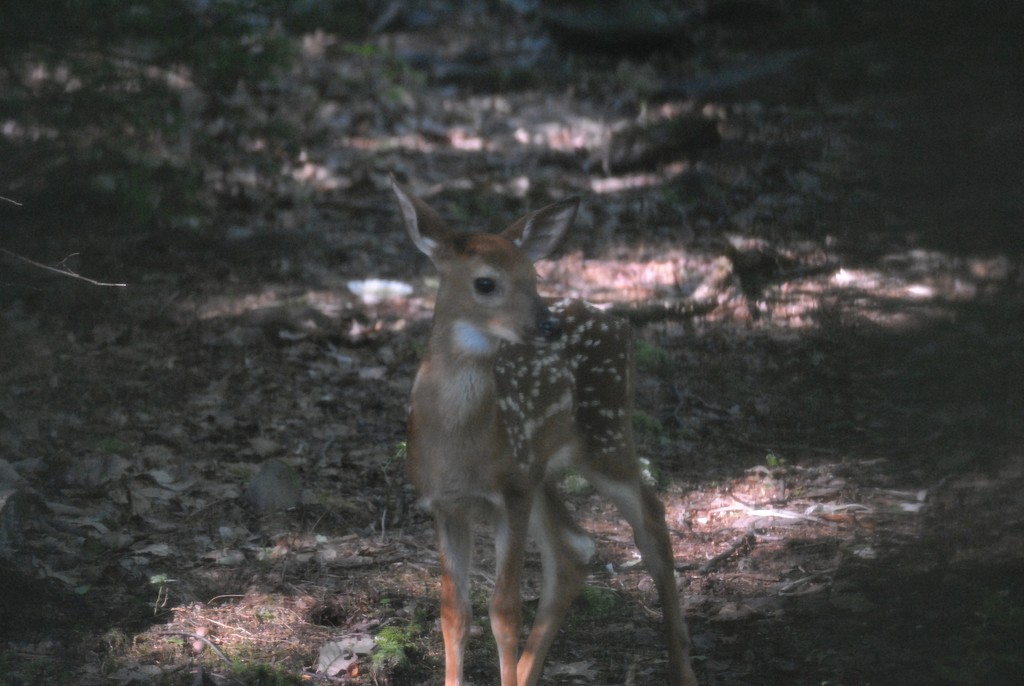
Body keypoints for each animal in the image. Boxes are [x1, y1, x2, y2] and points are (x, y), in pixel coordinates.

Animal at [391, 179, 696, 686]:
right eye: (486, 282)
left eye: (534, 276)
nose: (547, 325)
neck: (458, 446)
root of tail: (618, 321)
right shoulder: (445, 504)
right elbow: (454, 614)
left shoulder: (509, 493)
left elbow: (504, 612)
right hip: (542, 467)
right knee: (574, 548)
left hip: (606, 434)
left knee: (652, 520)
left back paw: (683, 669)